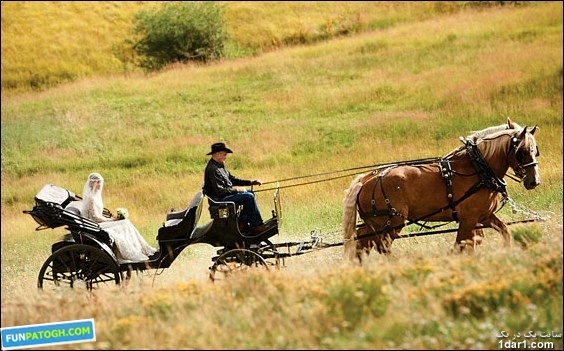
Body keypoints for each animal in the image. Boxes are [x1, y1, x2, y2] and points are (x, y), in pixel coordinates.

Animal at [342, 122, 540, 260]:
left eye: (535, 151)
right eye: (522, 151)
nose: (534, 181)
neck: (479, 167)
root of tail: (365, 180)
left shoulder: (484, 215)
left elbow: (501, 232)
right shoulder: (468, 218)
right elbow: (463, 243)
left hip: (375, 223)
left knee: (363, 242)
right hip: (392, 222)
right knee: (381, 246)